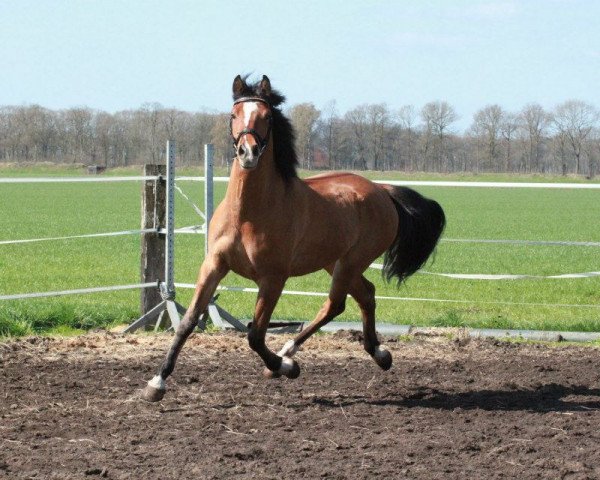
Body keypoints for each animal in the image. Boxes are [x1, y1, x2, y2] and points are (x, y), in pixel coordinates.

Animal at [141, 75, 442, 404]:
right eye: (234, 115)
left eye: (267, 116)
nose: (248, 153)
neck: (248, 214)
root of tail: (382, 191)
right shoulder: (214, 265)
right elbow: (187, 322)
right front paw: (156, 383)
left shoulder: (273, 277)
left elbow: (255, 334)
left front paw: (285, 367)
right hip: (334, 262)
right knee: (365, 294)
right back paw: (377, 353)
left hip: (351, 261)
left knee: (336, 303)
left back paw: (291, 353)